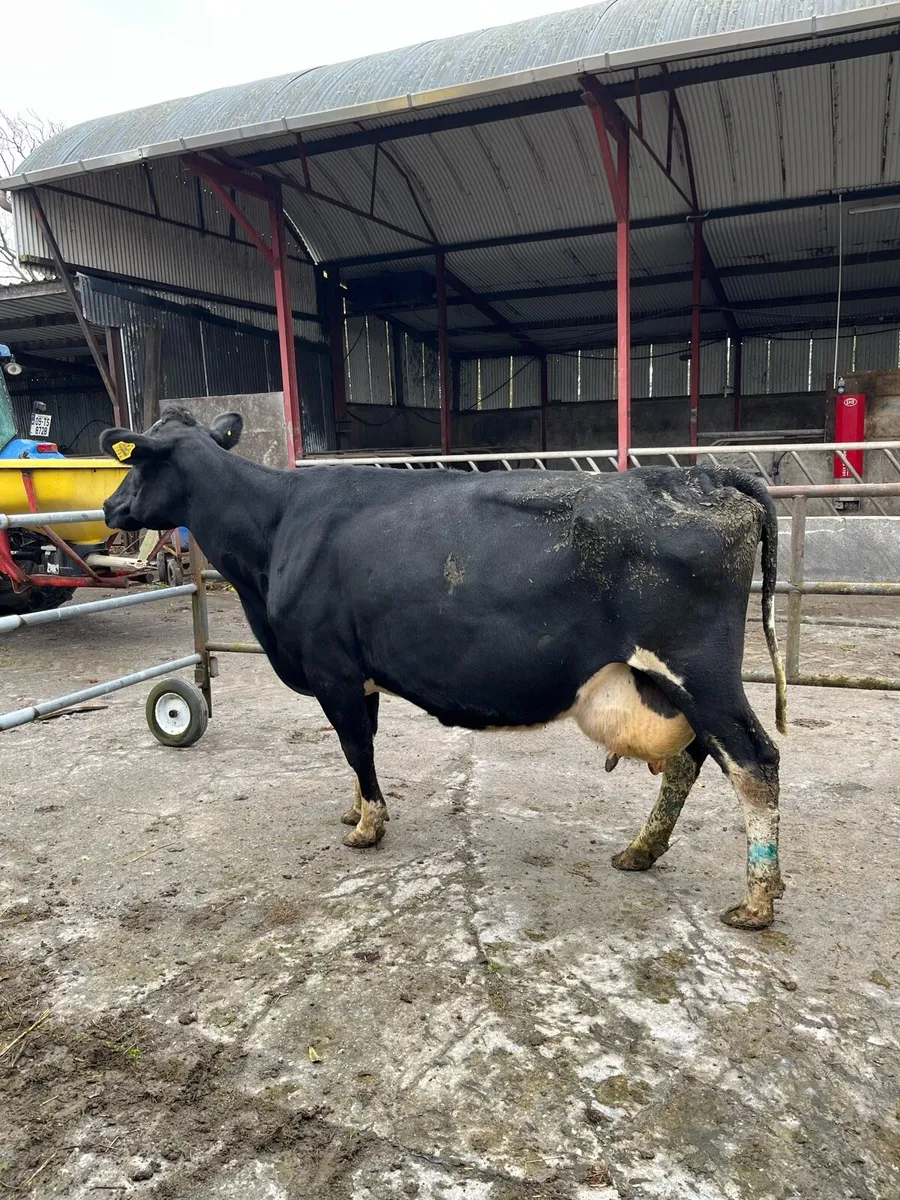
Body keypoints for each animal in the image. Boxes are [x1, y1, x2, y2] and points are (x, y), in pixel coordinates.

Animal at [101, 406, 788, 930]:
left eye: (135, 461)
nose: (108, 508)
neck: (275, 533)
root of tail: (711, 478)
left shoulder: (330, 667)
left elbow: (354, 745)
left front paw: (368, 827)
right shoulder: (357, 673)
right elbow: (361, 743)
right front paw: (356, 808)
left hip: (701, 673)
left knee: (754, 762)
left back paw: (756, 902)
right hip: (669, 682)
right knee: (690, 761)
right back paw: (642, 852)